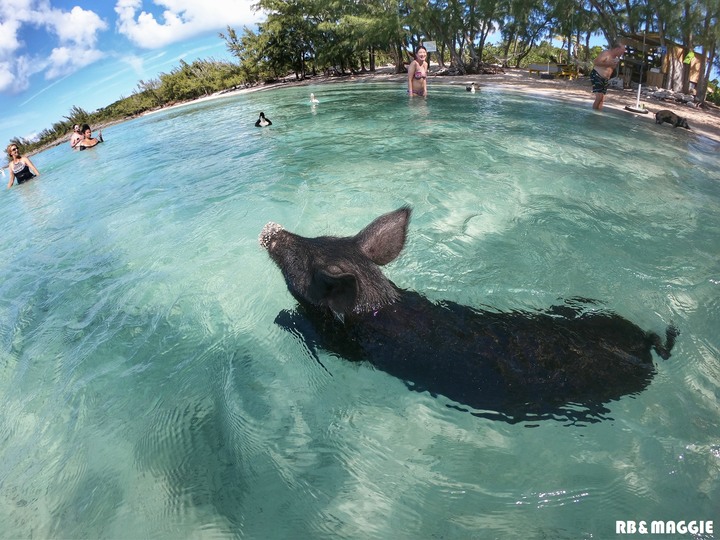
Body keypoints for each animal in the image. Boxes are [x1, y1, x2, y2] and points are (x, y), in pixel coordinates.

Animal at [262, 207, 676, 422]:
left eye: (302, 261)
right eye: (320, 240)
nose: (271, 228)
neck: (378, 305)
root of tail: (645, 344)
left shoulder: (343, 343)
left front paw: (281, 317)